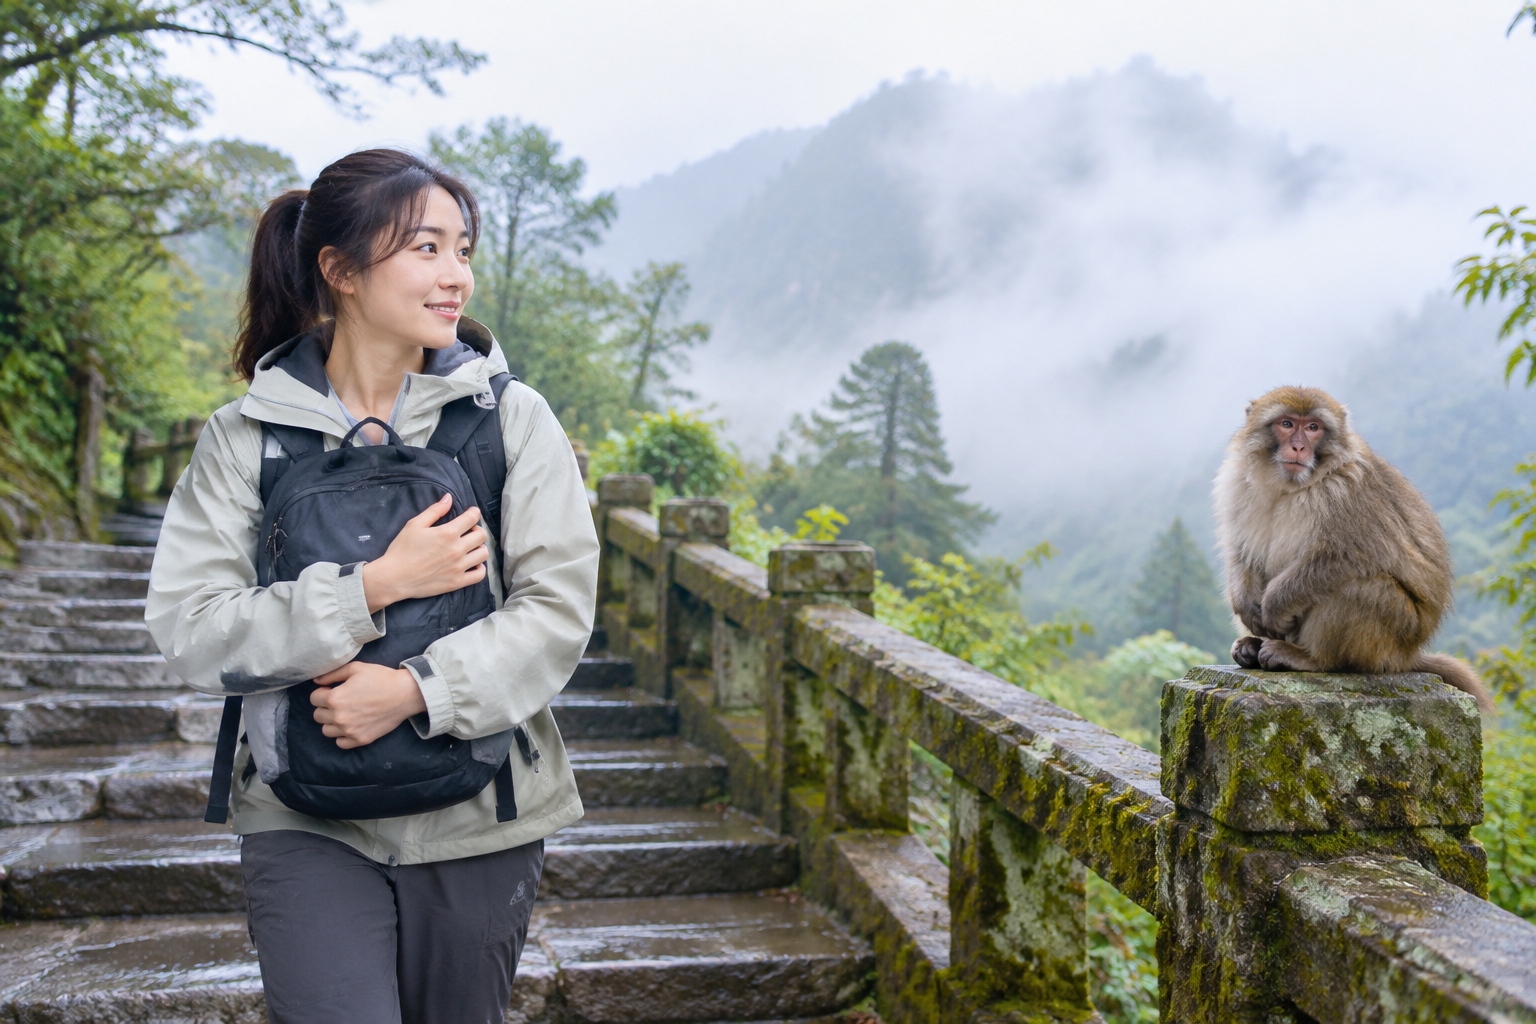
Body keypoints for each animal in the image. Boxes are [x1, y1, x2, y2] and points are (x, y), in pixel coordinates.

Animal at [1212, 385, 1494, 714]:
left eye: (1313, 427)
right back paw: (1251, 645)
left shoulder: (1348, 496)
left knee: (1359, 588)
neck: (1291, 487)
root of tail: (1406, 656)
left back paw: (1311, 657)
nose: (1298, 447)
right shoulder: (1239, 486)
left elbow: (1344, 558)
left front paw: (1274, 604)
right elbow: (1241, 551)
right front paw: (1246, 605)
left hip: (1392, 636)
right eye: (1287, 424)